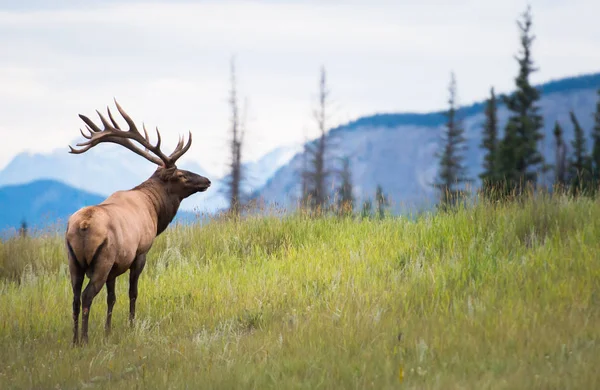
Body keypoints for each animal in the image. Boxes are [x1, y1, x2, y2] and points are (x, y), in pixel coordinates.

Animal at [65, 100, 211, 344]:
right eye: (181, 174)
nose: (207, 180)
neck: (154, 210)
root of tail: (83, 226)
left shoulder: (115, 267)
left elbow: (112, 298)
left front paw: (108, 330)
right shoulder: (140, 252)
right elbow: (133, 293)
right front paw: (132, 325)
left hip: (73, 261)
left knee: (75, 298)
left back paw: (74, 339)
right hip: (102, 259)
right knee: (86, 296)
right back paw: (84, 339)